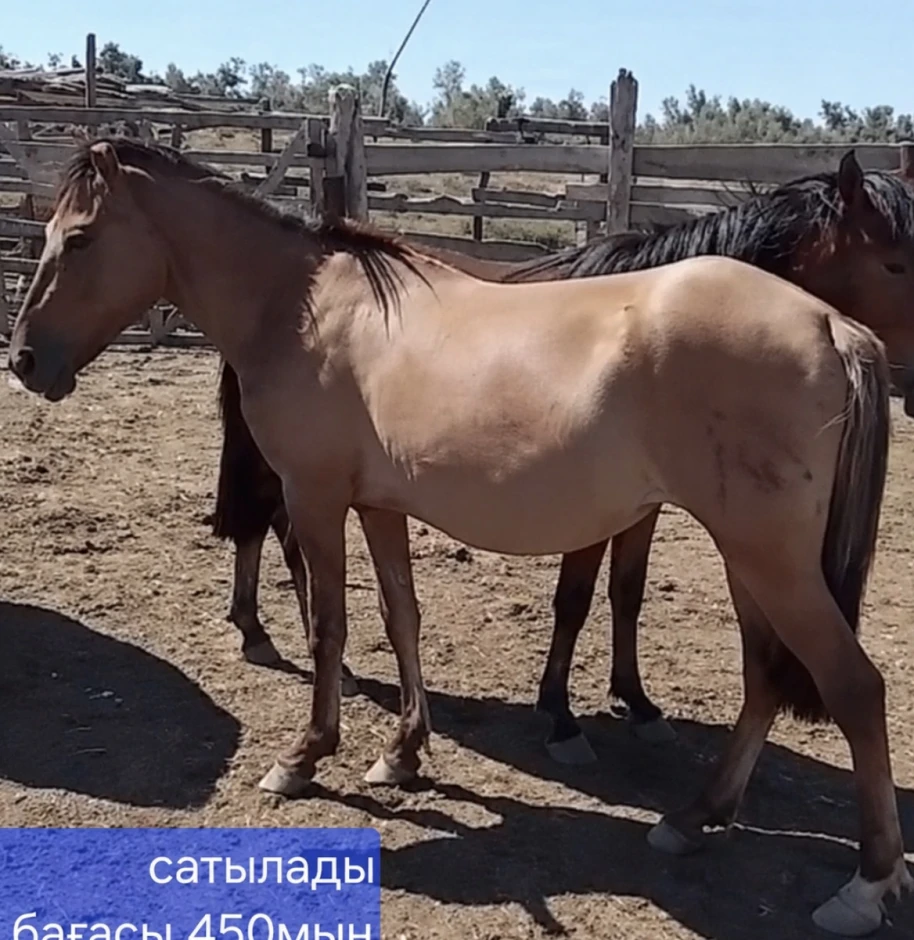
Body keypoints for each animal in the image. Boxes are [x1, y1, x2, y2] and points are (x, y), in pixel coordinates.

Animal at [212, 152, 914, 764]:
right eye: (895, 263)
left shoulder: (643, 506)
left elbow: (627, 592)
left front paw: (638, 703)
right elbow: (574, 599)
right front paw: (560, 715)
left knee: (270, 528)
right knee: (271, 529)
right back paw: (274, 638)